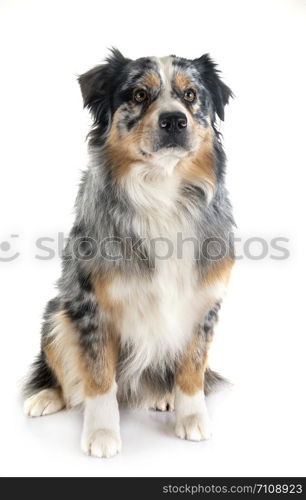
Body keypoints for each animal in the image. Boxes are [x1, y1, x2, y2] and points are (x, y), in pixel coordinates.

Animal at [23, 49, 234, 458]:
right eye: (139, 94)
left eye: (190, 95)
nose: (174, 120)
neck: (161, 190)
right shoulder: (90, 305)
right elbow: (99, 377)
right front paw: (102, 433)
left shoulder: (203, 301)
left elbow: (192, 368)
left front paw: (191, 418)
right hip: (57, 313)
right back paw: (46, 397)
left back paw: (164, 396)